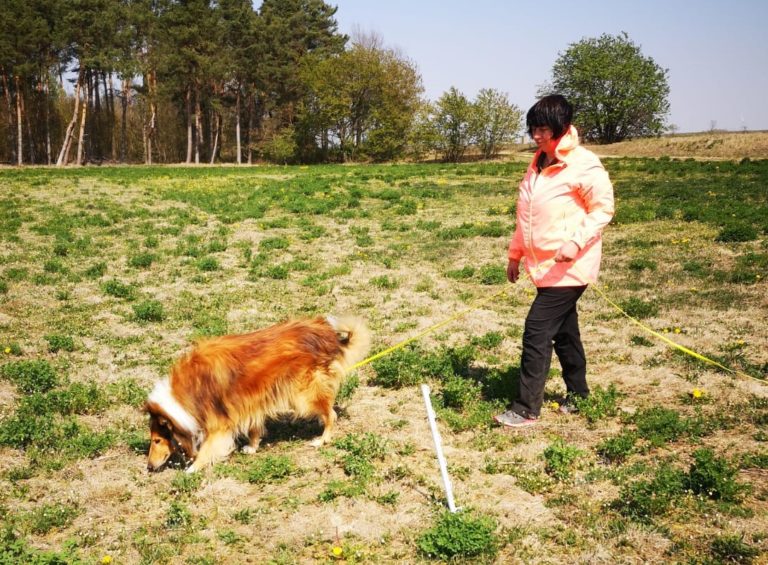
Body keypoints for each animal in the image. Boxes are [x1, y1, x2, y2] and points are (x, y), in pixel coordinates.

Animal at [146, 312, 372, 472]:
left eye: (157, 440)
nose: (148, 467)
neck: (187, 392)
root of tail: (328, 334)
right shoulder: (249, 403)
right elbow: (254, 428)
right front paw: (253, 447)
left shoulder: (219, 423)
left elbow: (207, 449)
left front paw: (192, 469)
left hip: (303, 395)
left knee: (331, 414)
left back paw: (321, 439)